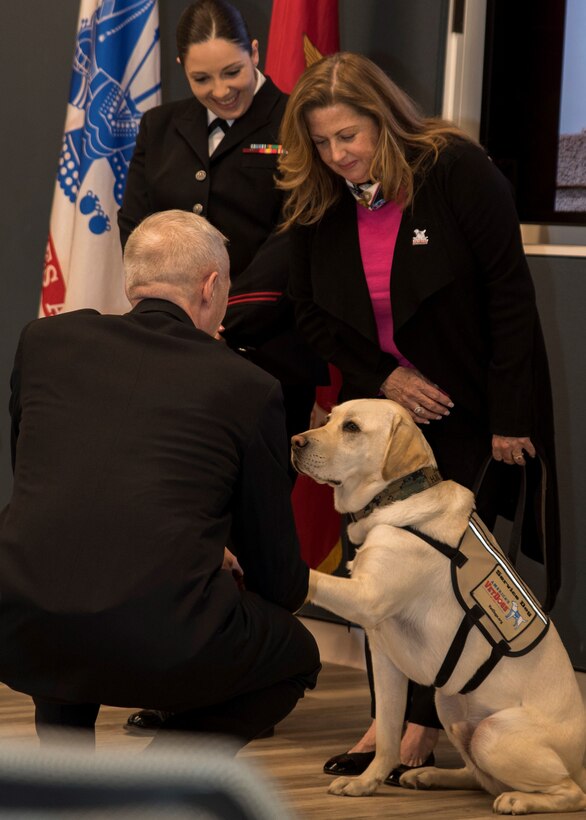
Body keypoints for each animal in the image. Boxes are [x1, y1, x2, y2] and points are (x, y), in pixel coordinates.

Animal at [290, 398, 580, 812]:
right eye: (329, 419)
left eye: (352, 428)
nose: (295, 441)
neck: (399, 494)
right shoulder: (384, 657)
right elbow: (388, 735)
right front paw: (365, 783)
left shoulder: (366, 597)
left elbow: (314, 578)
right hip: (450, 704)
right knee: (479, 778)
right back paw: (426, 774)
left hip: (491, 733)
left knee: (567, 791)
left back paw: (517, 800)